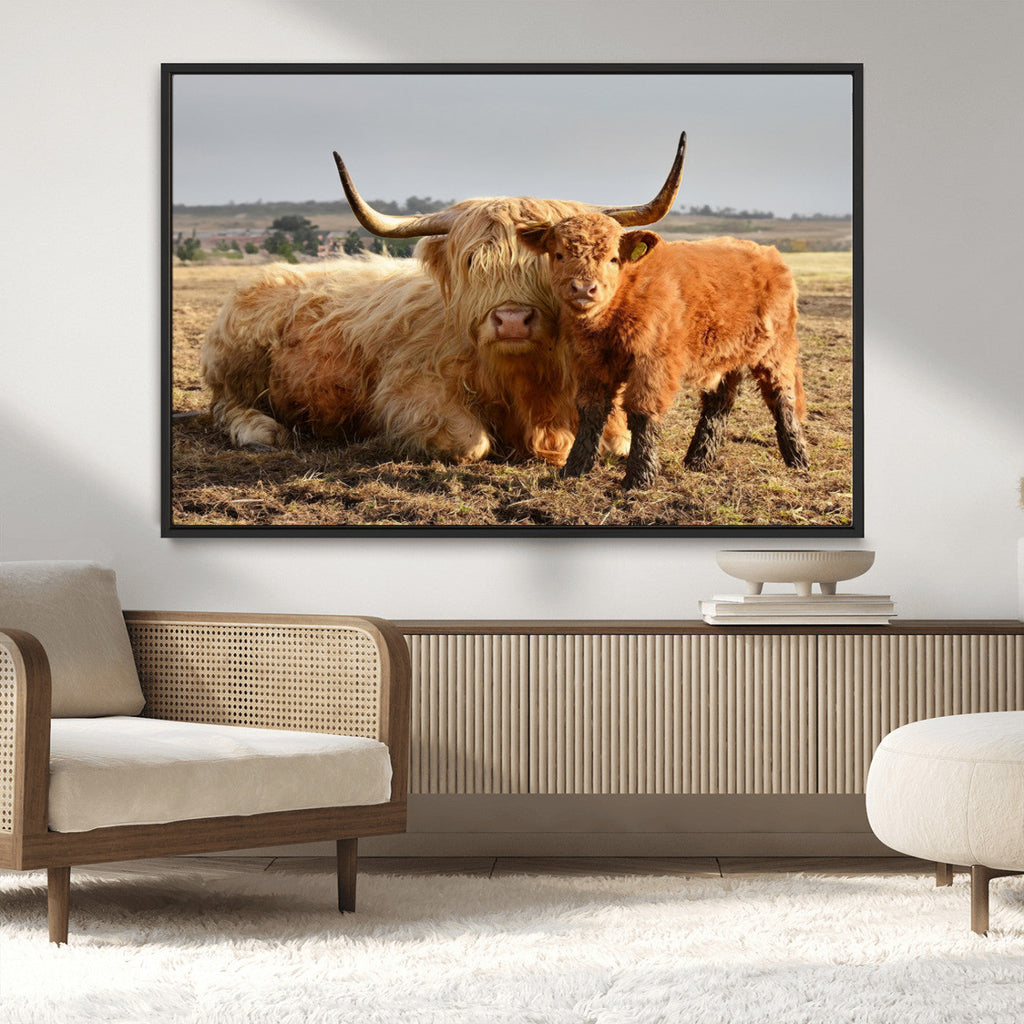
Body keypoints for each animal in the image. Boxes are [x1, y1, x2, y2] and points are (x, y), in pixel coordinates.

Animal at [198, 134, 688, 466]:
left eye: (553, 258)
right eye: (472, 261)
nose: (512, 320)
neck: (528, 380)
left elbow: (618, 440)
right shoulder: (407, 391)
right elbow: (470, 443)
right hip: (238, 365)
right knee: (225, 406)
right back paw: (261, 430)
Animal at [518, 211, 808, 489]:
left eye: (613, 258)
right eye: (559, 254)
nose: (583, 288)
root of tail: (769, 253)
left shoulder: (652, 363)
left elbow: (642, 412)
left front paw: (639, 477)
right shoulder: (590, 362)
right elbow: (591, 410)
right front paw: (573, 470)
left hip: (776, 351)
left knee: (782, 398)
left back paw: (798, 459)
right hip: (725, 356)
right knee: (719, 403)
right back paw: (698, 459)